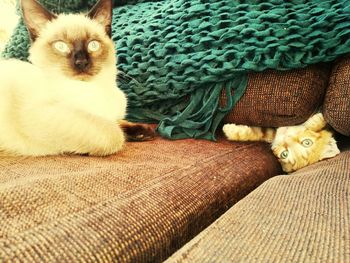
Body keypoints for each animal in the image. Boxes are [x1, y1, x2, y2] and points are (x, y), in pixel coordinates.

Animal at [0, 0, 153, 157]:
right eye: (61, 46)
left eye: (93, 45)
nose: (81, 62)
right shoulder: (46, 115)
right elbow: (115, 133)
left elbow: (118, 121)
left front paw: (143, 132)